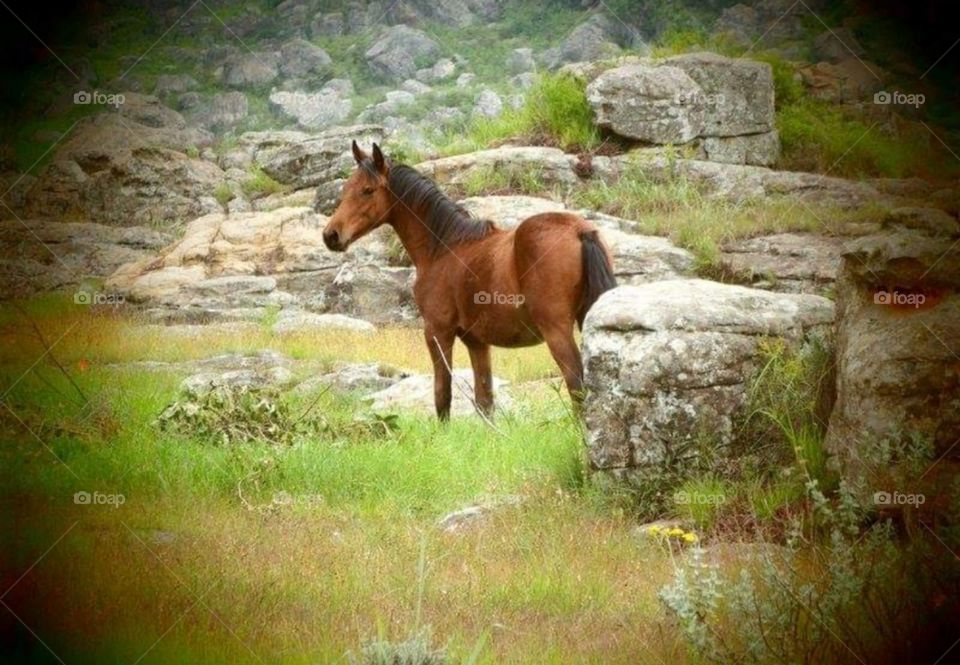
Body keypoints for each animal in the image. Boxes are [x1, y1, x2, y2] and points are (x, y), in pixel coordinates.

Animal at [322, 142, 616, 420]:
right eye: (347, 188)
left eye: (368, 190)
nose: (331, 235)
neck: (443, 247)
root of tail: (580, 230)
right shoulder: (477, 342)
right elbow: (484, 400)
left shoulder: (437, 333)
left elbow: (443, 395)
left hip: (556, 330)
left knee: (576, 385)